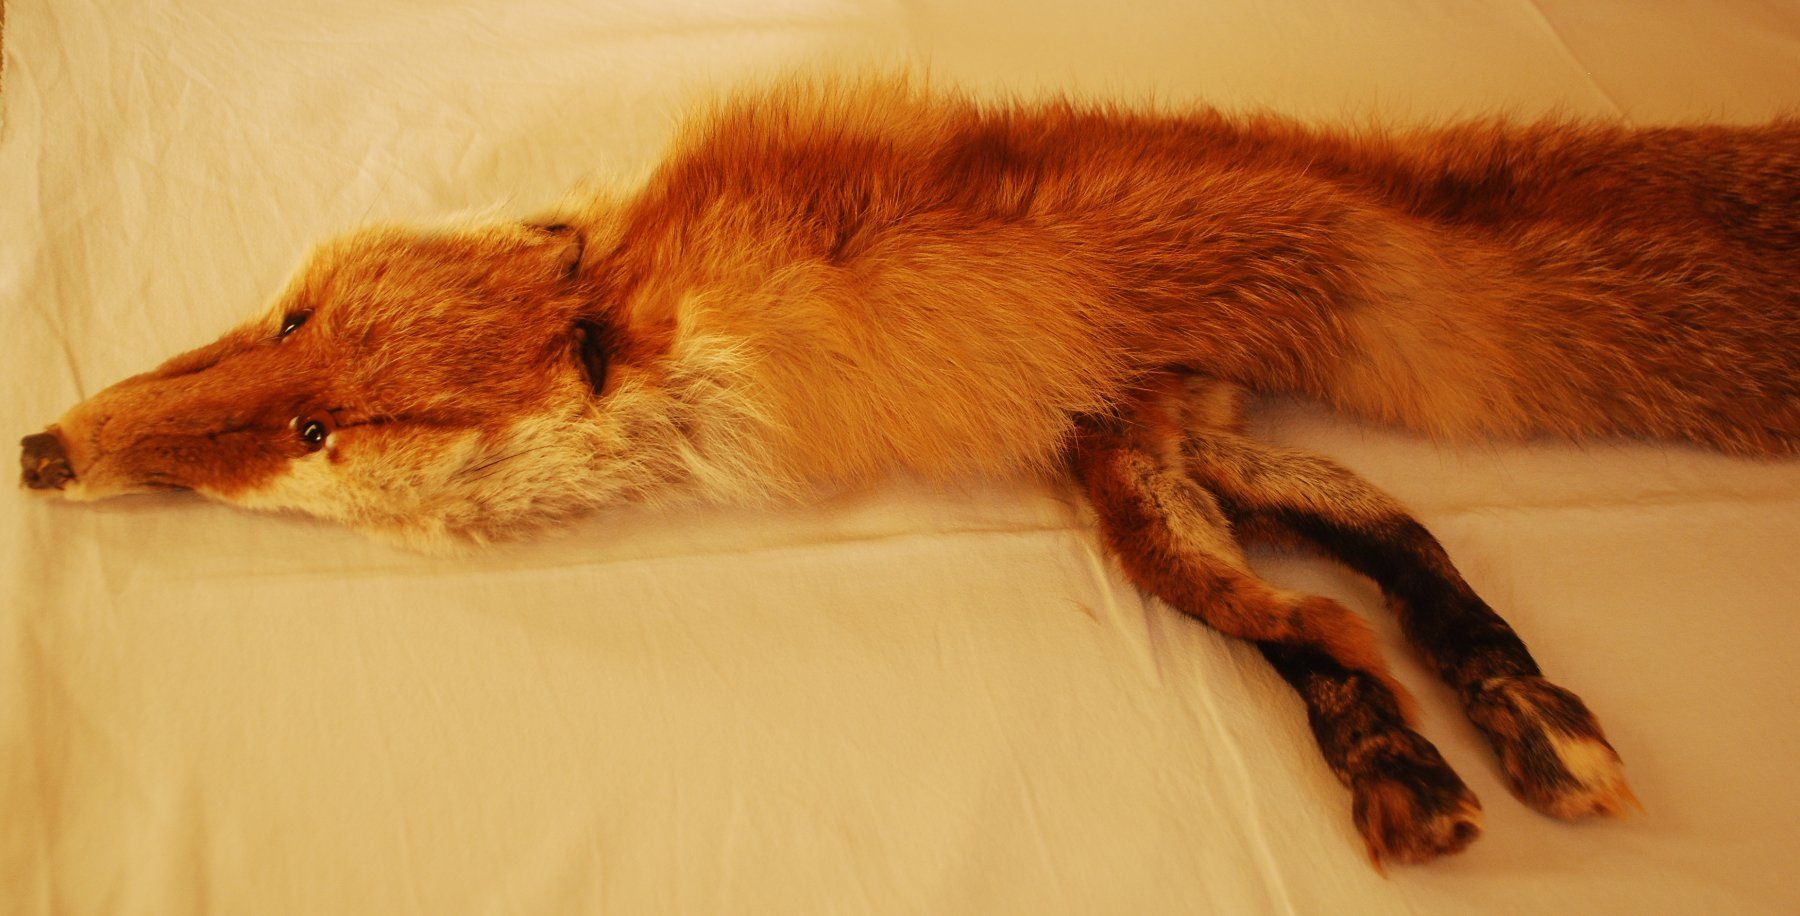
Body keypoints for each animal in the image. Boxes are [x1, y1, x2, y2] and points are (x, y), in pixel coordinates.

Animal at [18, 78, 1800, 866]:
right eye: (286, 322)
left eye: (319, 432)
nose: (42, 447)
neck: (656, 314)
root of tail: (1378, 194)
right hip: (1142, 459)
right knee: (1362, 554)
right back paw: (1461, 730)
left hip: (1150, 457)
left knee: (1324, 591)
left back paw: (1462, 739)